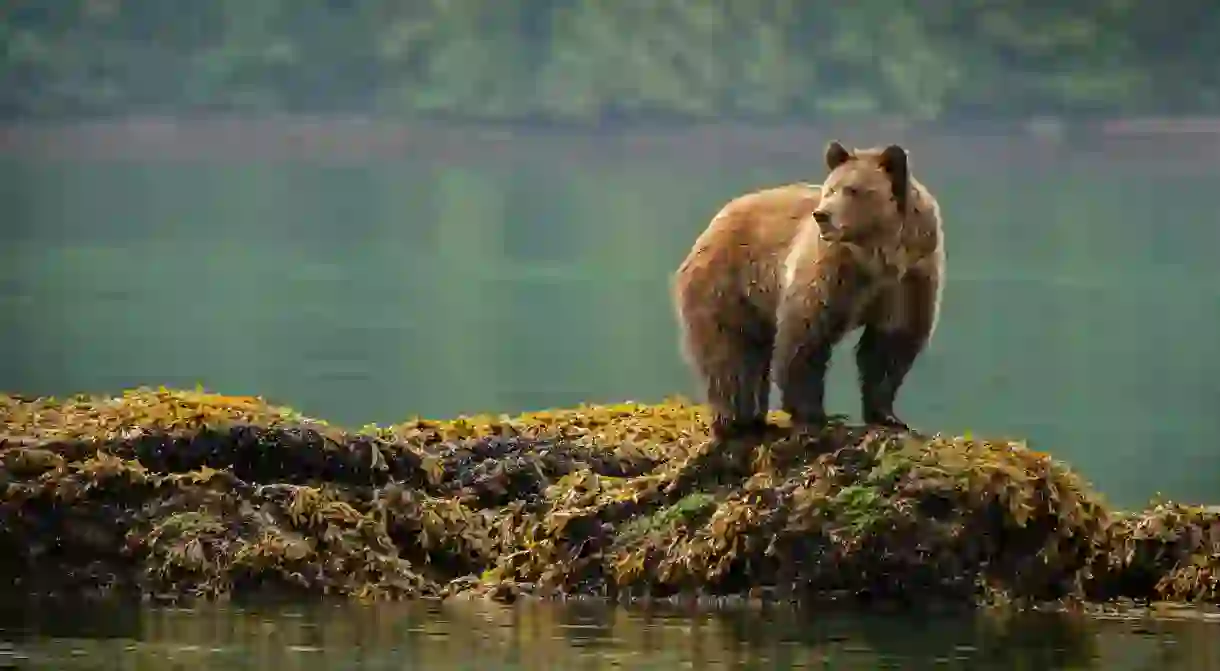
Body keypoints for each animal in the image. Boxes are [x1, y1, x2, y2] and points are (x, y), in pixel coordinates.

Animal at [678, 140, 941, 441]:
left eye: (853, 189)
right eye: (830, 188)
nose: (822, 215)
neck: (878, 257)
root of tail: (713, 223)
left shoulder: (910, 278)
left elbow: (892, 343)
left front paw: (889, 416)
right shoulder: (833, 268)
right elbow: (806, 333)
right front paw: (813, 414)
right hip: (729, 284)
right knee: (730, 352)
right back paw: (737, 420)